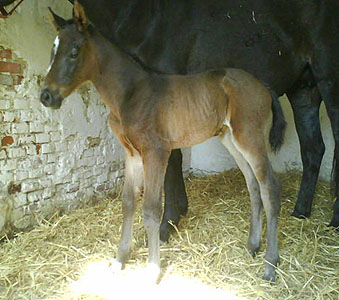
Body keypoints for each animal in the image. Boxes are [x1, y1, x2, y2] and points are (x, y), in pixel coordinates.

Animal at [41, 1, 286, 282]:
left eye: (74, 52)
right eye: (52, 51)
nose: (46, 96)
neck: (131, 94)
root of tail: (263, 86)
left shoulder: (155, 152)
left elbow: (151, 209)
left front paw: (152, 269)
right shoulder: (132, 154)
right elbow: (128, 203)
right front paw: (120, 260)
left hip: (250, 138)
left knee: (270, 187)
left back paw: (270, 264)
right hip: (230, 139)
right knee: (253, 185)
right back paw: (253, 245)